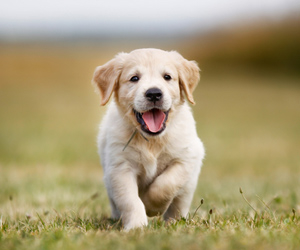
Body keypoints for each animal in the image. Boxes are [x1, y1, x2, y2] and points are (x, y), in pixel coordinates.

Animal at [91, 48, 204, 230]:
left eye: (167, 77)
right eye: (134, 78)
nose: (154, 93)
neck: (152, 141)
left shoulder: (186, 158)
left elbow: (166, 184)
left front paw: (151, 207)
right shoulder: (120, 168)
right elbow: (130, 200)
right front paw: (137, 226)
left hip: (189, 185)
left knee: (179, 203)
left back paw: (175, 221)